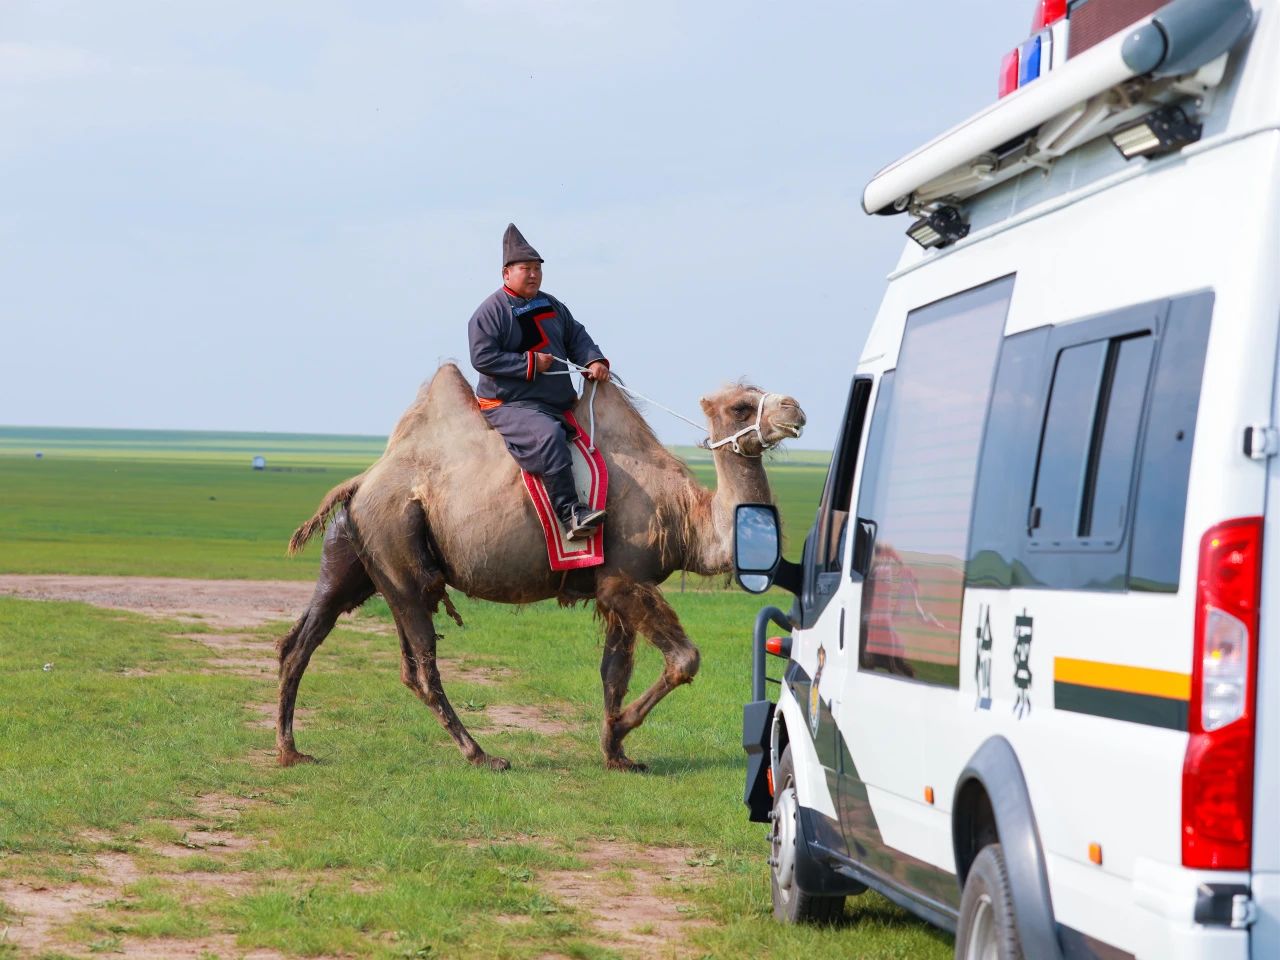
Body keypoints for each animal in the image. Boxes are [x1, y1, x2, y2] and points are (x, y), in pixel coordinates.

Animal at [276, 363, 803, 773]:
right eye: (740, 407)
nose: (794, 408)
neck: (683, 514)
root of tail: (361, 481)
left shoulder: (615, 587)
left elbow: (614, 671)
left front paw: (616, 752)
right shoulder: (624, 580)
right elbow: (684, 659)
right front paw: (619, 729)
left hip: (355, 556)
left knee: (303, 641)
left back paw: (290, 750)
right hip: (398, 554)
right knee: (421, 667)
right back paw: (482, 755)